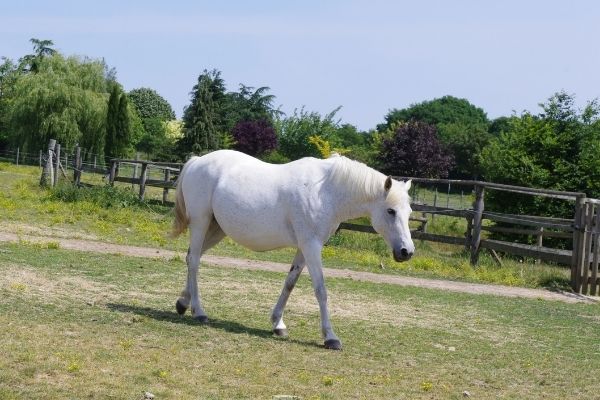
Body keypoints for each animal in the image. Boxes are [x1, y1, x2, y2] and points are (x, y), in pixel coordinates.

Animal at [171, 148, 414, 348]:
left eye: (409, 212)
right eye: (391, 211)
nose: (407, 251)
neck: (325, 191)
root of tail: (197, 161)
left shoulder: (304, 248)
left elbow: (290, 283)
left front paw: (278, 323)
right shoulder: (311, 246)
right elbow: (321, 290)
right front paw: (330, 337)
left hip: (216, 229)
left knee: (191, 257)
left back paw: (183, 303)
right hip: (201, 223)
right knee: (194, 261)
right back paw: (198, 311)